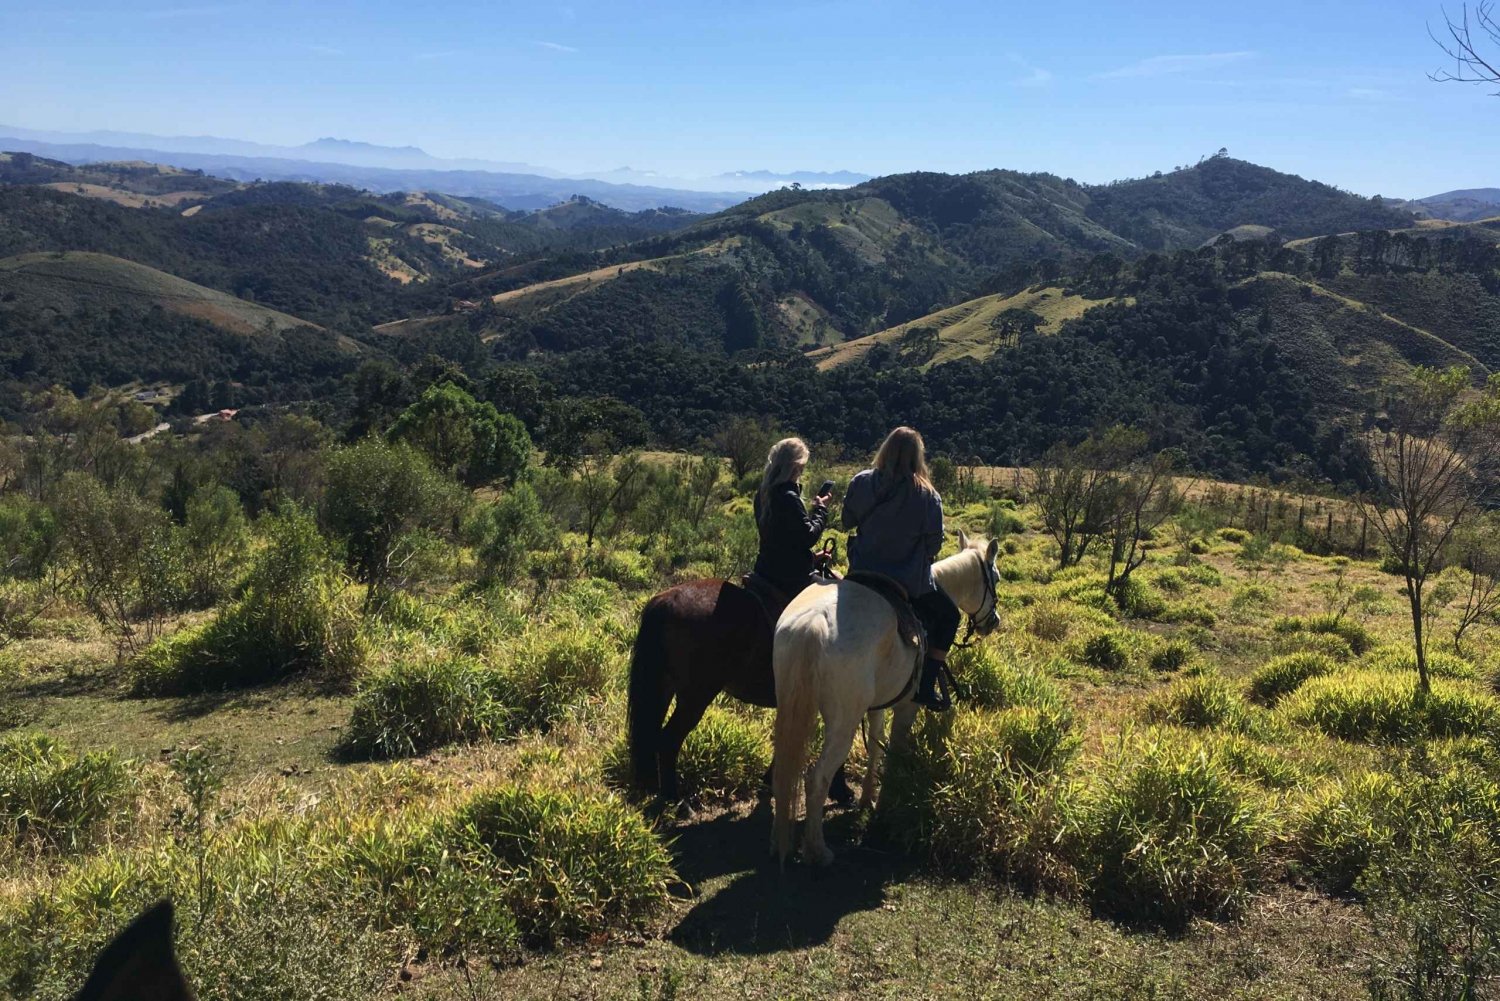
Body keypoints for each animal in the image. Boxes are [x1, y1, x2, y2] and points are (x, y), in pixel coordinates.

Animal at [627, 579, 852, 798]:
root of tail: (666, 600)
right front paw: (841, 790)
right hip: (696, 696)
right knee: (668, 741)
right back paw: (674, 799)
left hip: (664, 688)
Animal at [768, 531, 1002, 870]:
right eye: (995, 577)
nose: (993, 622)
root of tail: (811, 624)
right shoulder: (907, 706)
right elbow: (895, 751)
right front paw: (886, 805)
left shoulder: (876, 705)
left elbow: (877, 743)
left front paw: (868, 798)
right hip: (843, 723)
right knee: (817, 779)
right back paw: (817, 851)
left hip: (788, 706)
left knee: (783, 772)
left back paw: (778, 840)